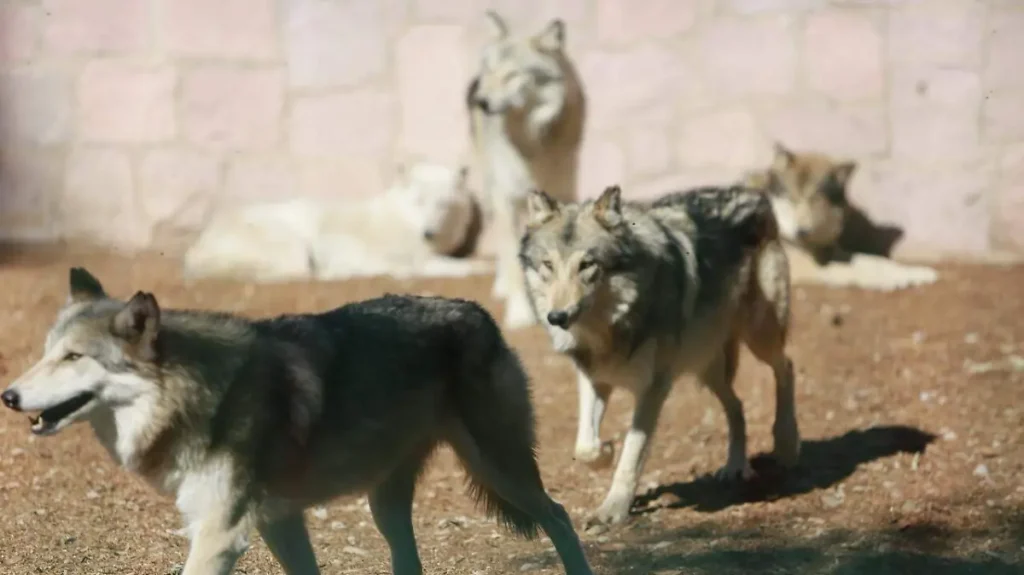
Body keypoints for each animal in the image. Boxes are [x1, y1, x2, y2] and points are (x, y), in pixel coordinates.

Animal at [0, 268, 594, 575]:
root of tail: (478, 311)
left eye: (73, 358)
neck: (196, 394)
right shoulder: (277, 521)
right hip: (386, 506)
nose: (8, 395)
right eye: (47, 353)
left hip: (501, 471)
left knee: (561, 515)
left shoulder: (222, 534)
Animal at [182, 161, 489, 283]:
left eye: (443, 204)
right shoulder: (405, 248)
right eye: (419, 201)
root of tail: (198, 246)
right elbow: (428, 264)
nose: (429, 233)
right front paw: (478, 267)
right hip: (276, 232)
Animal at [466, 10, 586, 329]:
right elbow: (511, 256)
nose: (481, 101)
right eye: (491, 72)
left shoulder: (561, 194)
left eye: (512, 75)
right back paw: (503, 286)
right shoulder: (506, 198)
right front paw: (520, 314)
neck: (531, 141)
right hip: (491, 190)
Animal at [519, 184, 800, 528]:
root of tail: (754, 193)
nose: (557, 317)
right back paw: (735, 465)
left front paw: (612, 509)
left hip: (759, 337)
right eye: (547, 265)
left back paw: (787, 443)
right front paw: (605, 452)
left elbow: (632, 453)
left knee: (786, 367)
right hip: (707, 370)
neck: (611, 328)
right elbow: (585, 446)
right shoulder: (594, 379)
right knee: (738, 407)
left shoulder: (653, 388)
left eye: (587, 265)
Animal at [742, 143, 939, 291]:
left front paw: (916, 273)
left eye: (816, 200)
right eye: (791, 199)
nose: (802, 232)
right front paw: (892, 282)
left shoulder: (833, 253)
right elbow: (849, 272)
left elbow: (875, 260)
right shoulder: (805, 268)